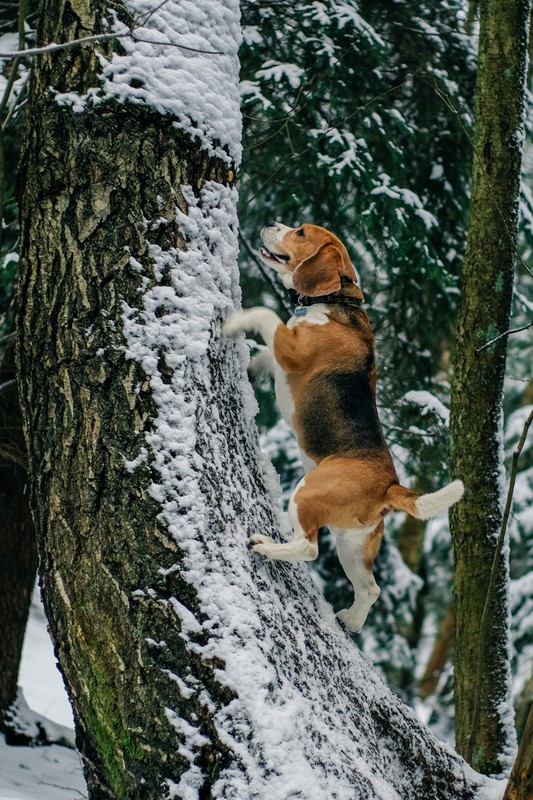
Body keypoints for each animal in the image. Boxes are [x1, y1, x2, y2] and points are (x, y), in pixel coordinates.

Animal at [223, 220, 462, 632]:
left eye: (301, 232)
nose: (271, 224)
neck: (336, 303)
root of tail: (390, 486)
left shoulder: (291, 349)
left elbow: (265, 314)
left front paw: (233, 321)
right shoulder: (282, 354)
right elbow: (264, 356)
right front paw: (248, 374)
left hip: (308, 492)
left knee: (308, 547)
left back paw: (266, 546)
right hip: (353, 543)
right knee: (370, 588)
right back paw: (351, 619)